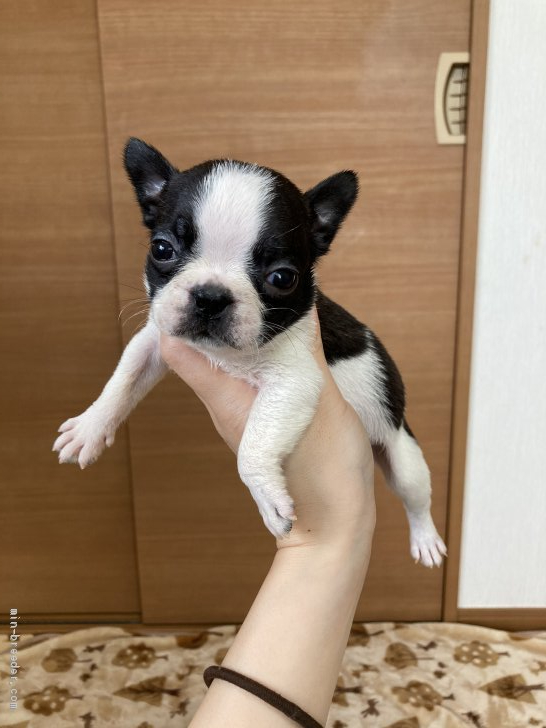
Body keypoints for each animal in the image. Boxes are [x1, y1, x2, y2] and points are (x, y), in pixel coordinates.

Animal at [51, 138, 444, 568]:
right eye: (162, 249)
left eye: (282, 277)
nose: (210, 296)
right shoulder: (156, 340)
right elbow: (122, 380)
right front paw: (90, 426)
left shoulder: (294, 381)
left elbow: (253, 446)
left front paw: (268, 498)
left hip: (403, 454)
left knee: (415, 498)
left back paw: (426, 539)